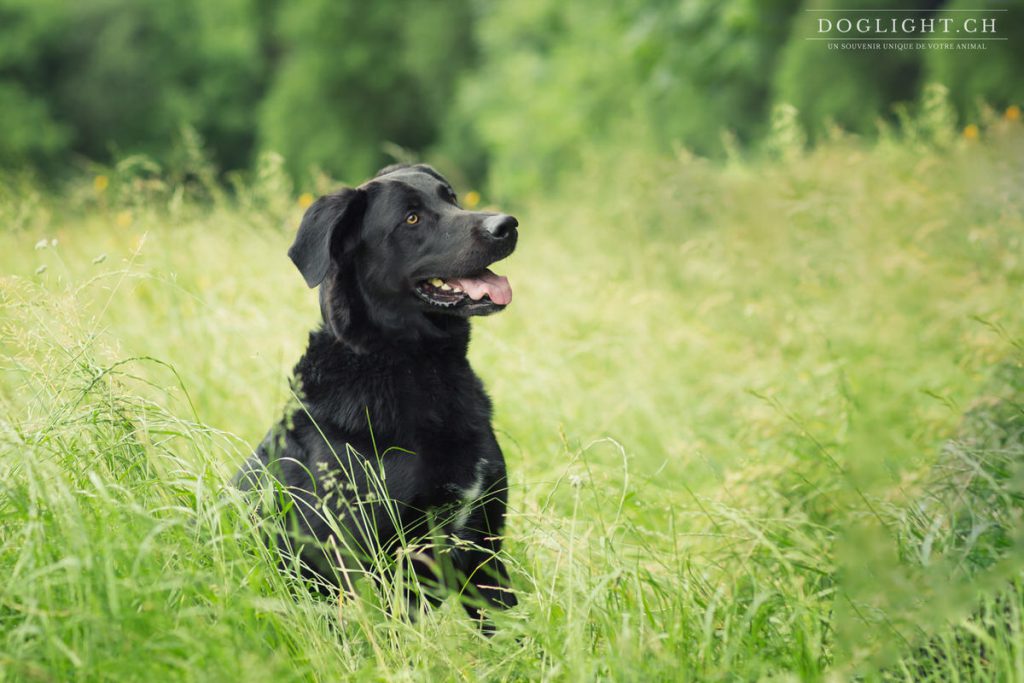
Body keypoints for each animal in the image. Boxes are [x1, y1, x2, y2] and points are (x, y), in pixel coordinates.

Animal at [234, 162, 516, 626]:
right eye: (411, 218)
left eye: (452, 198)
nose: (507, 225)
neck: (426, 370)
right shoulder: (375, 564)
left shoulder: (483, 550)